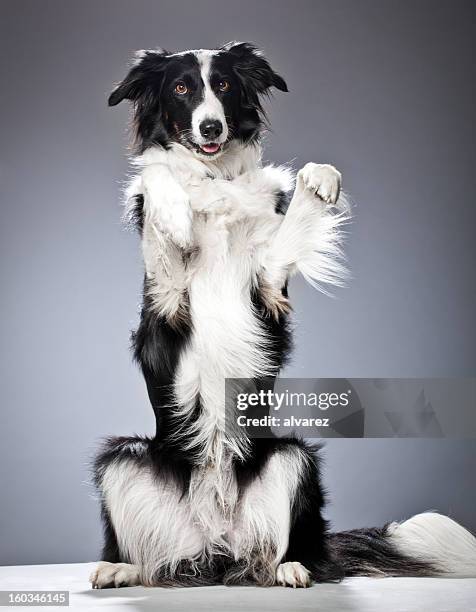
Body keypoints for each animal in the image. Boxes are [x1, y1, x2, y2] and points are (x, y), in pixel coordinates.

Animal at [90, 41, 476, 588]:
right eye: (181, 87)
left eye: (224, 85)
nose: (211, 128)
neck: (216, 182)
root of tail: (216, 545)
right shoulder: (167, 298)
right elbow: (157, 173)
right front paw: (173, 210)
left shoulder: (269, 284)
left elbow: (295, 215)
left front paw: (319, 178)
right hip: (122, 457)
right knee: (149, 558)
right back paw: (119, 568)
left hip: (293, 458)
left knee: (288, 547)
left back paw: (292, 567)